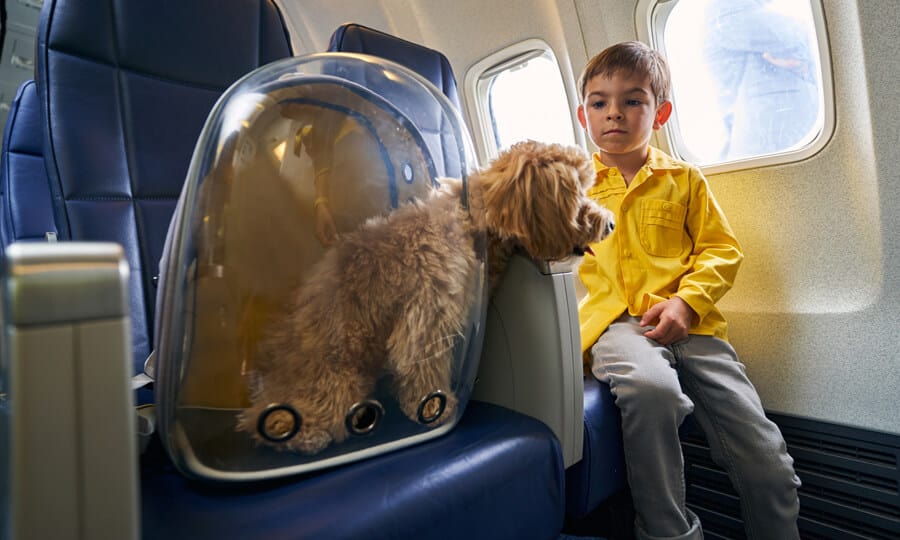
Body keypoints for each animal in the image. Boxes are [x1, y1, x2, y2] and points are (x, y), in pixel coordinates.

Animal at [236, 139, 616, 452]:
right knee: (286, 420)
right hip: (337, 378)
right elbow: (422, 364)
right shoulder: (427, 314)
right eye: (576, 196)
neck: (474, 223)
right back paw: (306, 431)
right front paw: (434, 407)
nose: (610, 223)